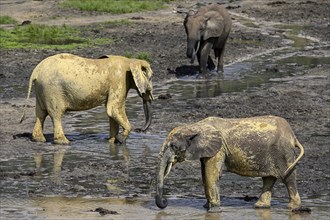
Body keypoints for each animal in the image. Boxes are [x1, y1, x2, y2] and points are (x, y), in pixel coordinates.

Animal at [20, 53, 154, 145]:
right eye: (151, 77)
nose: (140, 129)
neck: (130, 61)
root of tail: (36, 71)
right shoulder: (119, 80)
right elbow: (113, 109)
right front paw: (121, 140)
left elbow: (111, 112)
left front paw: (112, 142)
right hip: (52, 90)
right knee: (56, 114)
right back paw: (64, 142)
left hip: (42, 89)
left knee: (41, 113)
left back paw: (39, 140)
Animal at [156, 116, 306, 212]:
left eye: (174, 146)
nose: (166, 202)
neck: (194, 126)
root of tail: (293, 136)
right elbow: (205, 175)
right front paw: (206, 207)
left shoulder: (219, 149)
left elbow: (211, 175)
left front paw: (213, 210)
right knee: (269, 179)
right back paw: (260, 207)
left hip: (283, 152)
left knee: (288, 177)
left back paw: (292, 208)